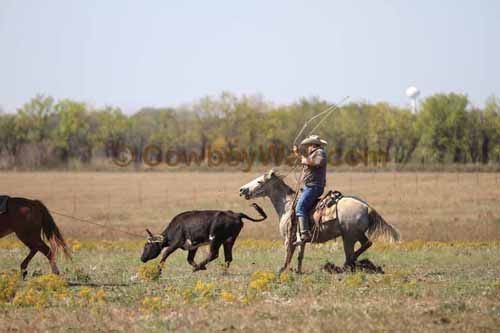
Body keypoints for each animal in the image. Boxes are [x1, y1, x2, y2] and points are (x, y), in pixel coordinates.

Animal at [240, 170, 400, 272]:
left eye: (259, 181)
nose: (242, 190)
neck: (286, 205)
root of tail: (367, 207)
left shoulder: (288, 238)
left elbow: (288, 255)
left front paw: (282, 270)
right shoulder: (301, 240)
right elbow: (300, 256)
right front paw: (298, 271)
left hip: (348, 237)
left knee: (350, 253)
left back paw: (344, 266)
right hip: (357, 235)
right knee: (367, 243)